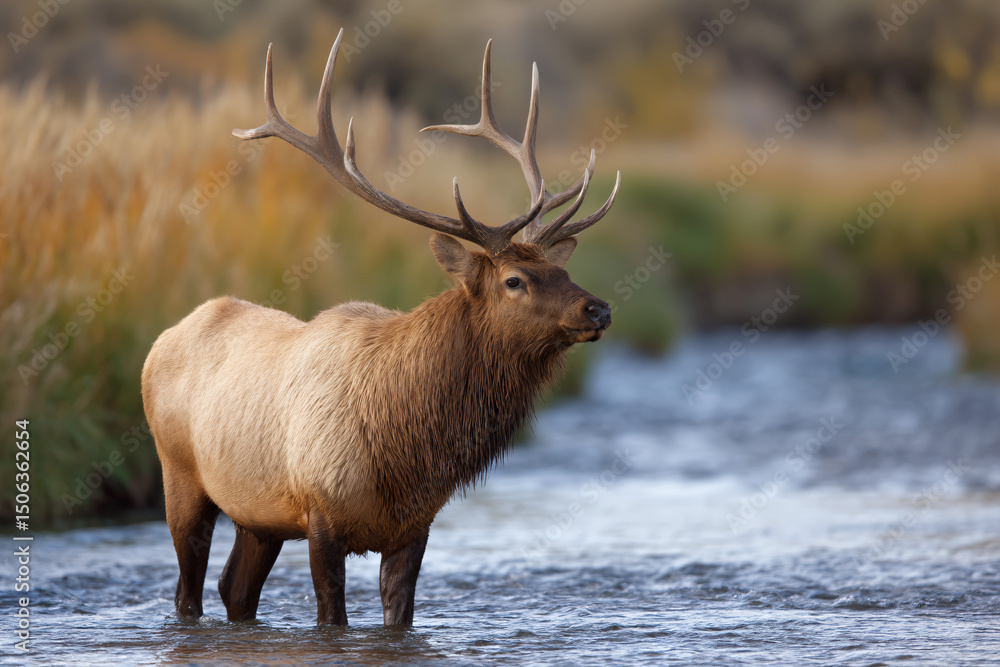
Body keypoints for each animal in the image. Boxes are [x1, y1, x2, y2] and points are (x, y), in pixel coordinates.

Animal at [141, 29, 620, 628]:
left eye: (563, 271)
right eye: (515, 280)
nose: (598, 310)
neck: (404, 448)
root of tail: (161, 341)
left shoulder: (414, 526)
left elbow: (400, 617)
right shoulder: (320, 513)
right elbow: (332, 619)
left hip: (258, 514)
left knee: (236, 590)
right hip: (180, 475)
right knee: (189, 592)